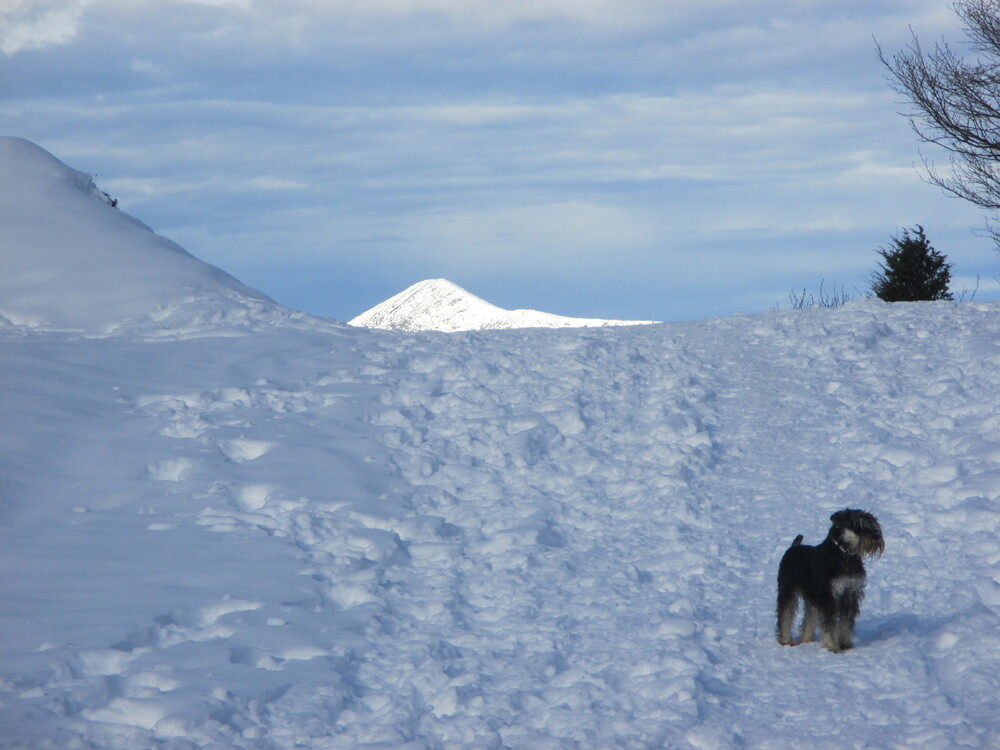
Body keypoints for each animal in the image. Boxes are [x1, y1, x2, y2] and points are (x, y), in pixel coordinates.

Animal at [772, 512, 884, 652]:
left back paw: (807, 639)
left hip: (813, 596)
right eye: (857, 525)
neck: (845, 555)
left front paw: (845, 644)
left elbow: (846, 621)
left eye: (873, 522)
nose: (876, 536)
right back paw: (786, 640)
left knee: (809, 616)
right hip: (788, 591)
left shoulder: (850, 594)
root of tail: (793, 548)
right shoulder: (830, 597)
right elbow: (830, 623)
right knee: (785, 615)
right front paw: (831, 646)